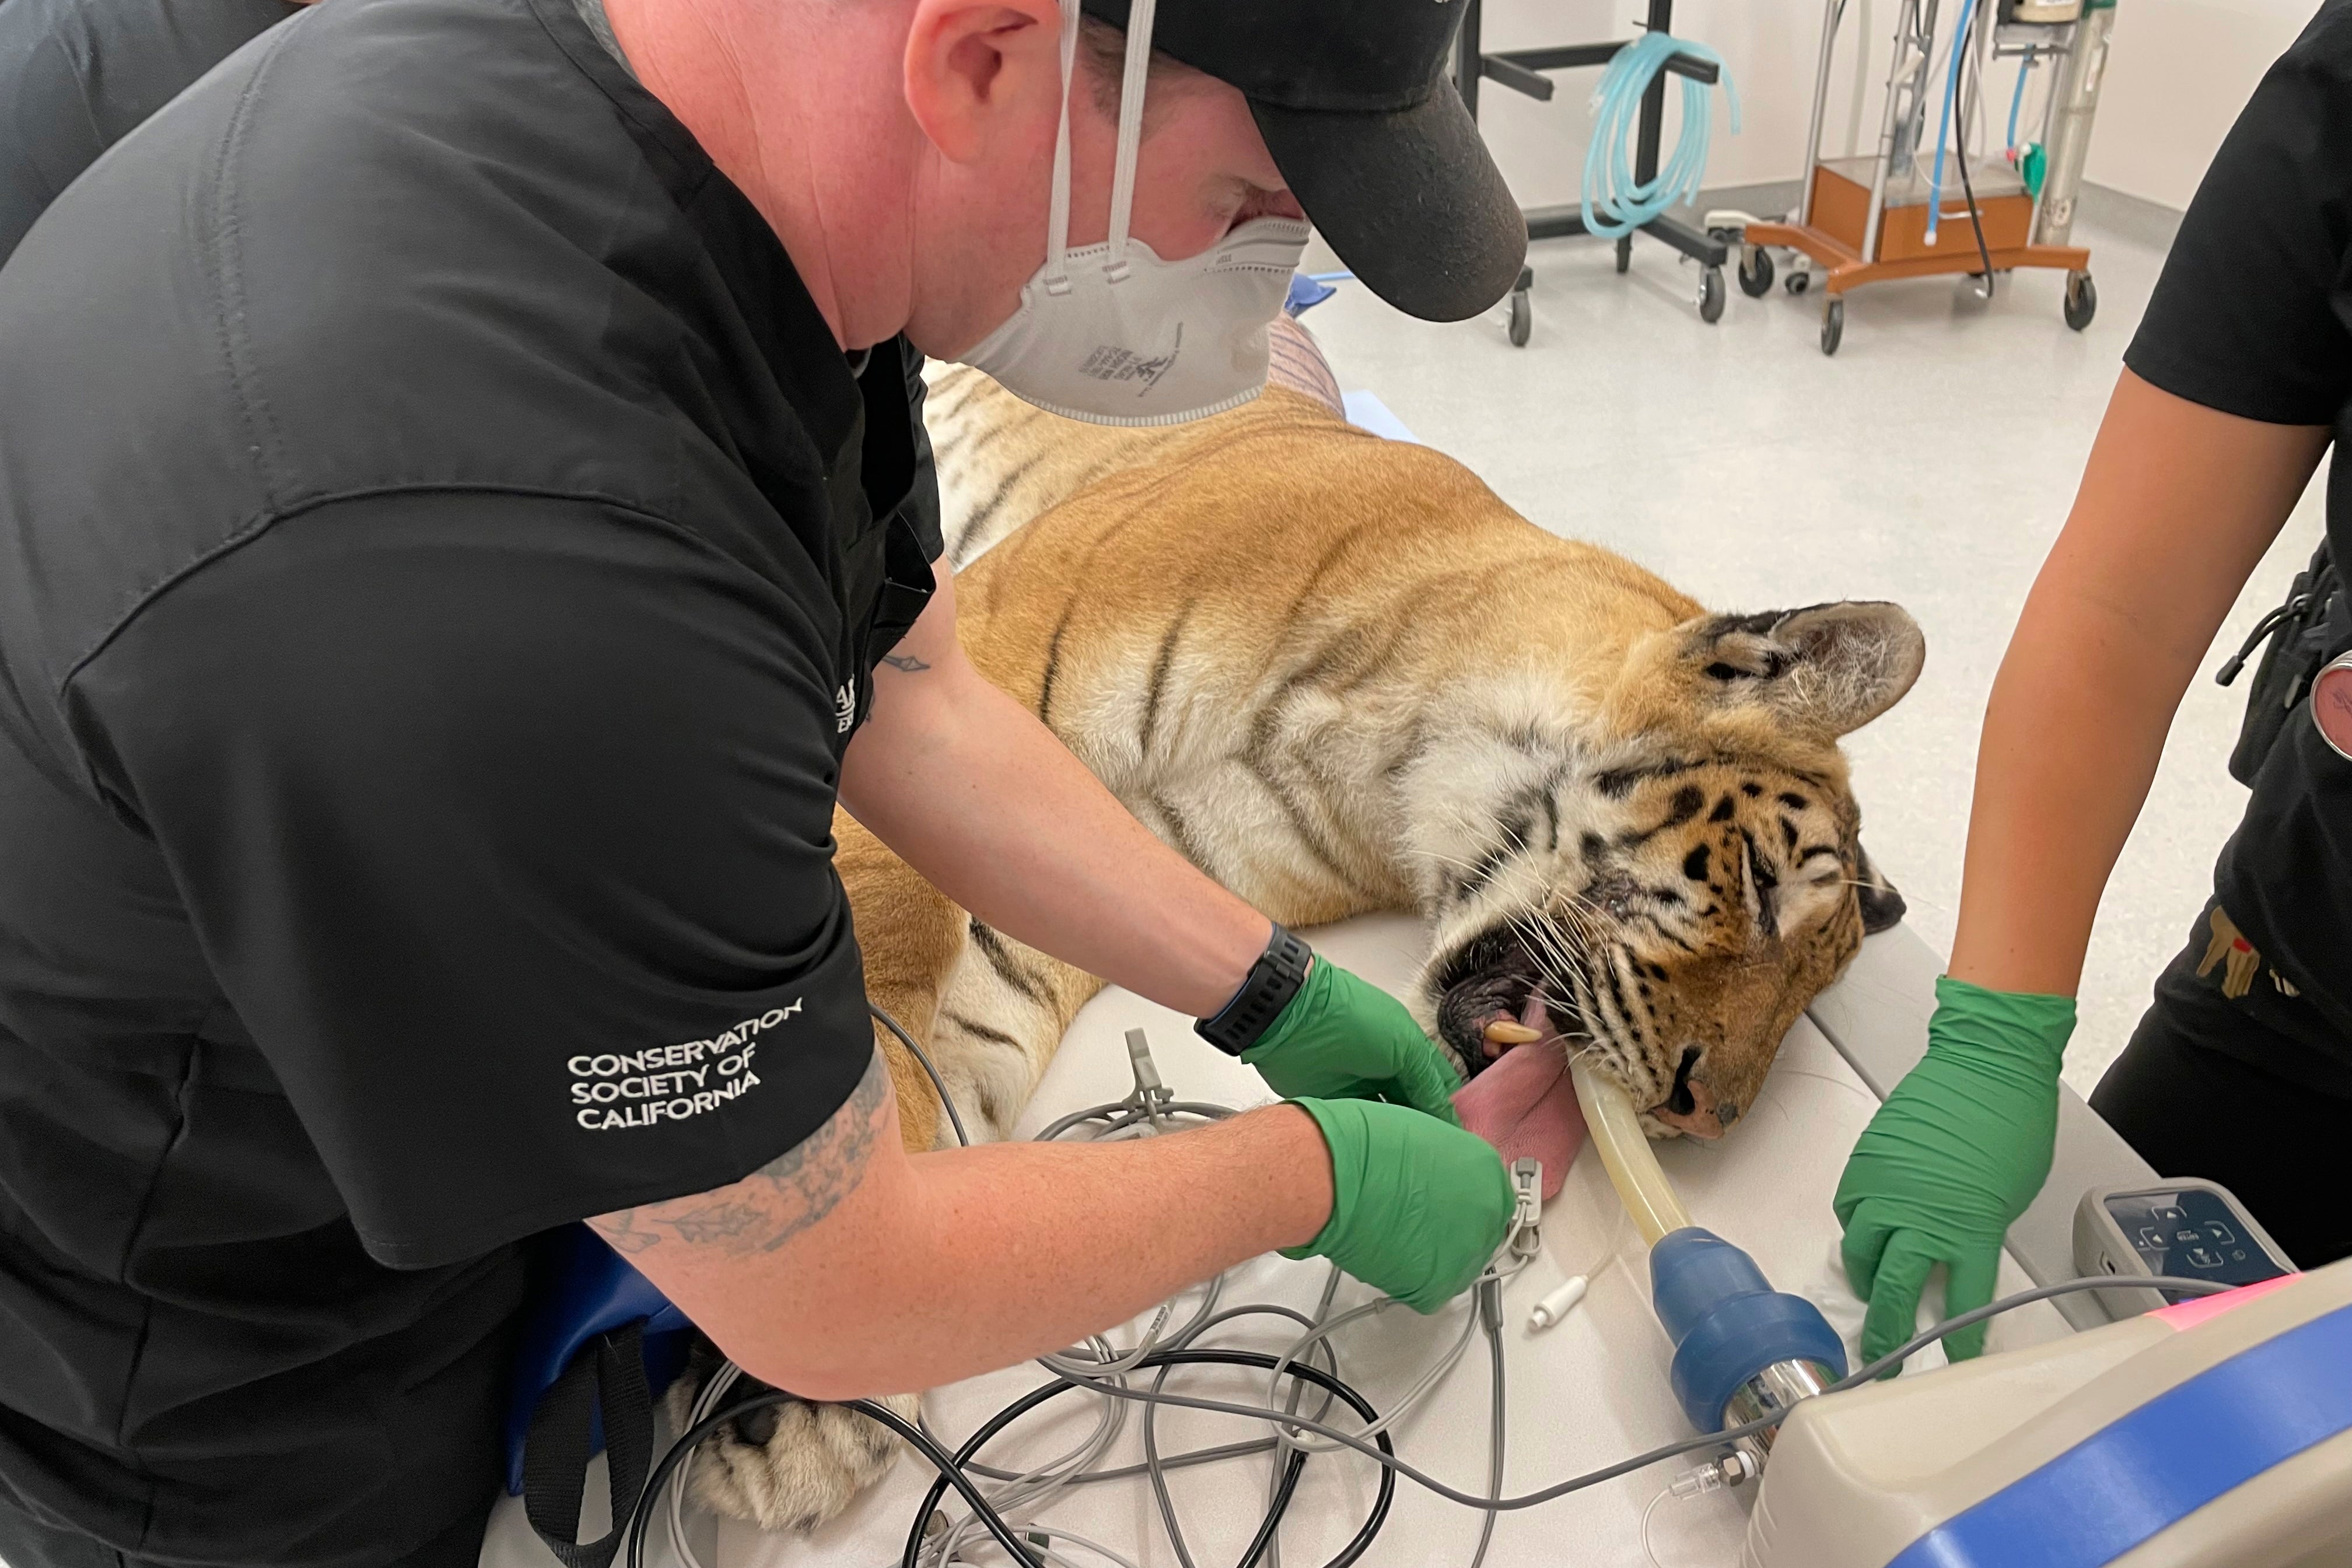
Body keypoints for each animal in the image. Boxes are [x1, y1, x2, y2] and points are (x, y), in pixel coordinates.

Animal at [674, 318, 1922, 1531]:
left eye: (1802, 1011)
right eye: (1764, 885)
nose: (1701, 1117)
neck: (1385, 765)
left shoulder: (1081, 871)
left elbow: (954, 1058)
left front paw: (820, 1382)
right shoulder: (954, 671)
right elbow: (888, 959)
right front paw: (800, 1382)